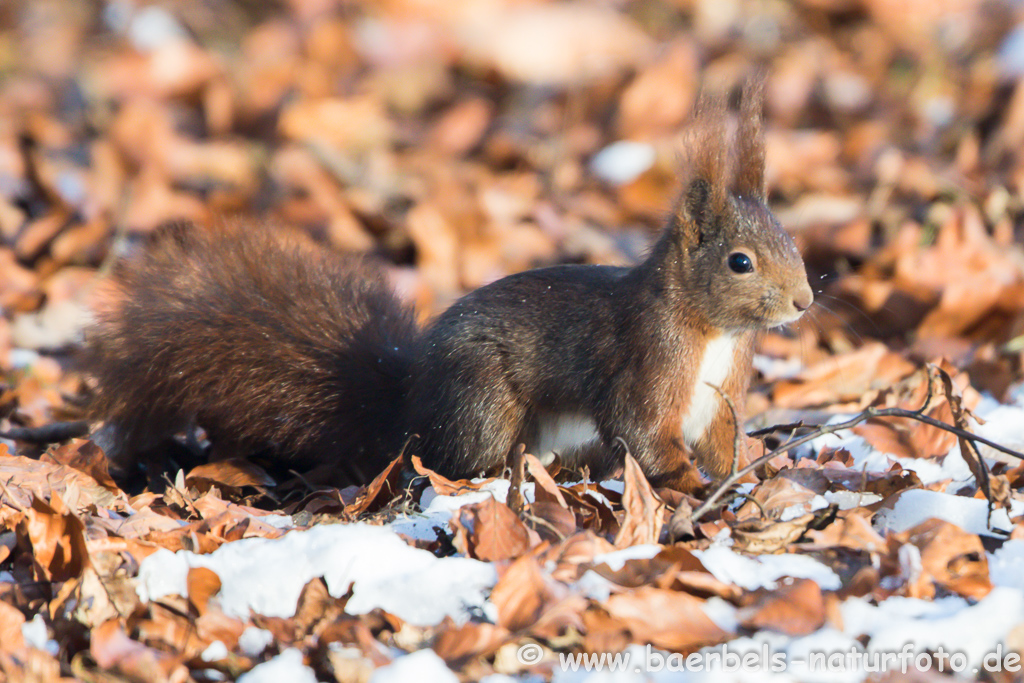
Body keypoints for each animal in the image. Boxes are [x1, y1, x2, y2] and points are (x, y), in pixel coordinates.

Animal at [83, 81, 811, 491]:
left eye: (792, 240)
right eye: (740, 262)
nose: (805, 301)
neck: (713, 332)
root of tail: (408, 408)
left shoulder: (718, 396)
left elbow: (722, 439)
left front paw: (756, 467)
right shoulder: (644, 363)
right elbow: (642, 432)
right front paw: (691, 482)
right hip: (484, 400)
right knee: (456, 461)